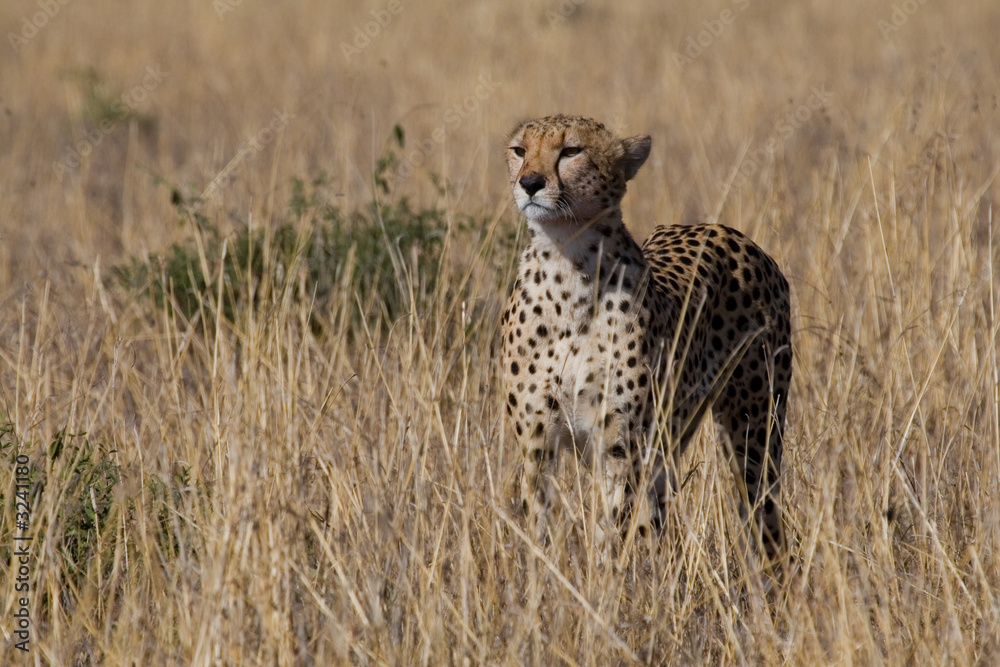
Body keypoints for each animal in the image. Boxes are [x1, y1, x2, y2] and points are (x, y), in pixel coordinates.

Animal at [500, 114, 792, 561]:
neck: (567, 260)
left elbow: (610, 529)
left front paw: (603, 577)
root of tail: (722, 229)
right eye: (519, 150)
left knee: (765, 518)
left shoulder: (620, 445)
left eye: (571, 151)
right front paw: (543, 575)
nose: (529, 182)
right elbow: (541, 525)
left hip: (754, 431)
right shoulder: (538, 443)